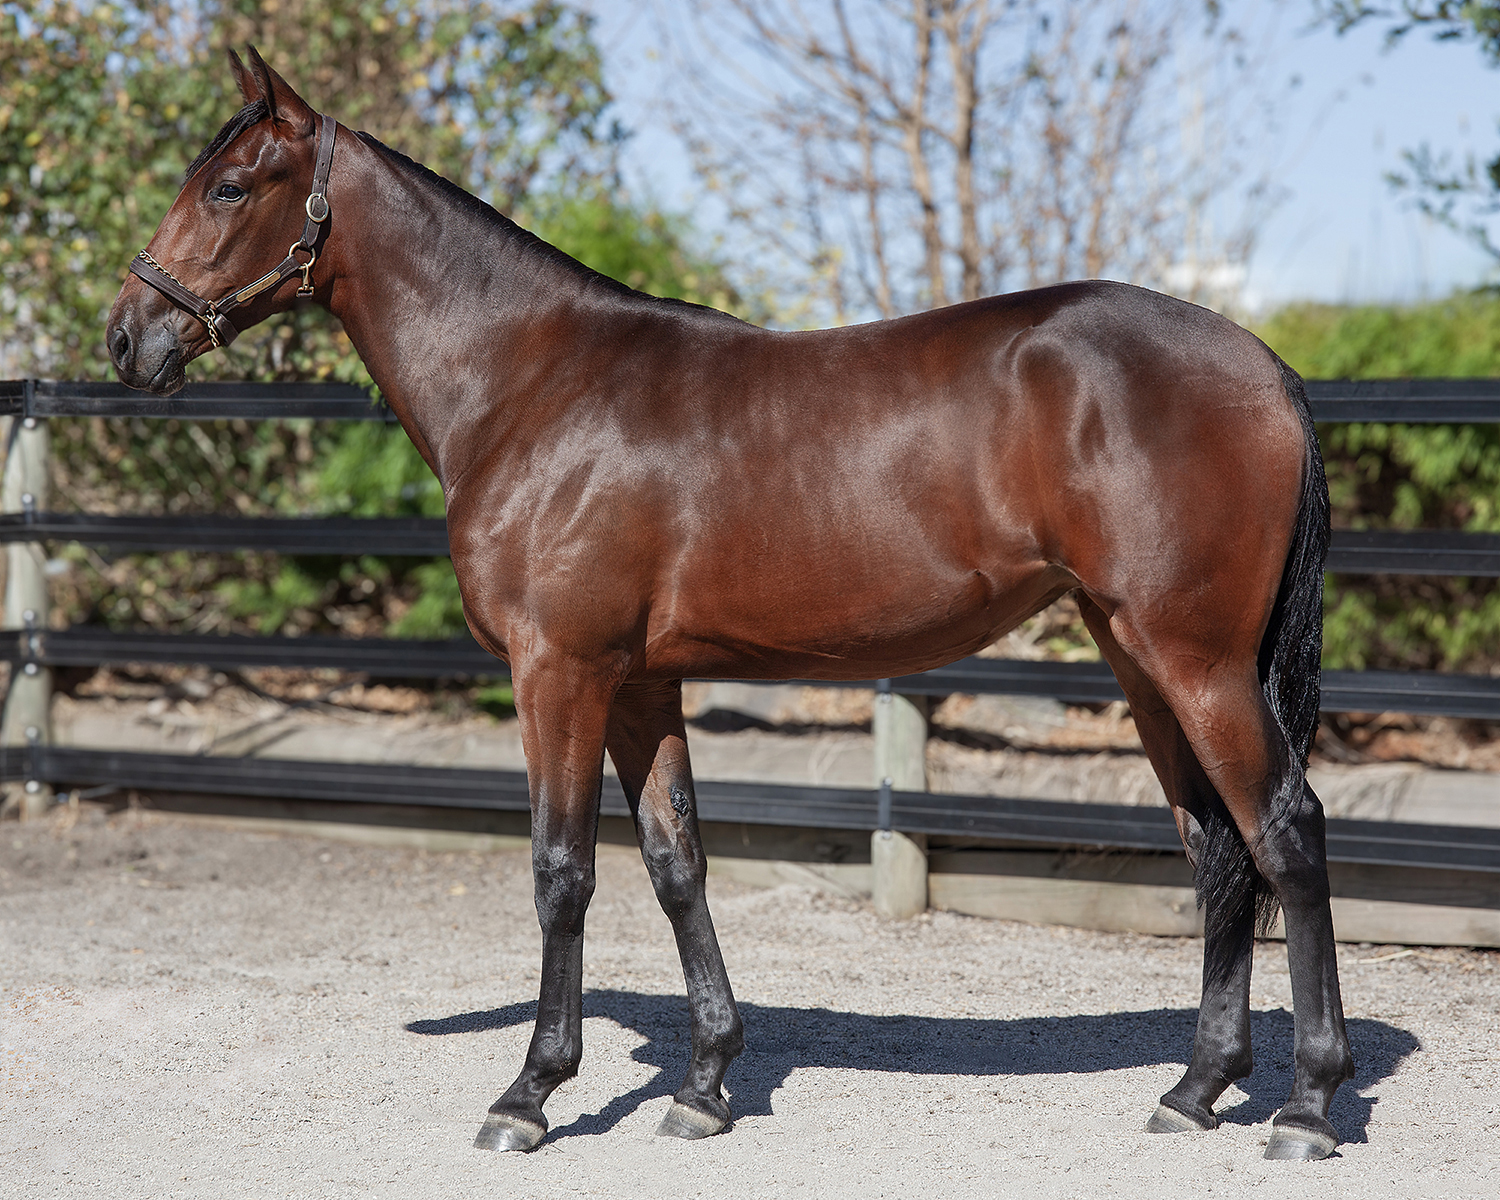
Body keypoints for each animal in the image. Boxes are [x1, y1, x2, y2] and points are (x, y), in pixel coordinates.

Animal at [106, 48, 1352, 1161]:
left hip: (1194, 659)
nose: (127, 337)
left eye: (227, 187)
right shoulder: (640, 682)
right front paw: (704, 1085)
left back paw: (1305, 1107)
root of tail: (1263, 368)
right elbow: (676, 864)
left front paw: (530, 1094)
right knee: (1217, 848)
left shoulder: (558, 670)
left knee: (1286, 831)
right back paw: (1195, 1090)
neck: (532, 384)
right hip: (1140, 655)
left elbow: (562, 870)